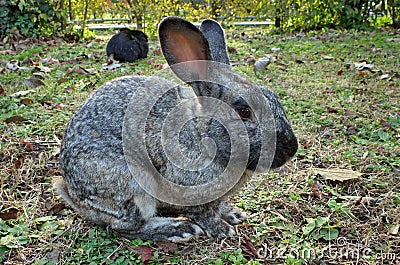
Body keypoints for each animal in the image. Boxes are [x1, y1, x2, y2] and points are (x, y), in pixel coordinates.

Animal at [54, 17, 296, 241]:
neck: (201, 135)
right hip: (133, 187)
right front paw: (221, 229)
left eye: (273, 97)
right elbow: (204, 214)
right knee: (125, 226)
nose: (291, 148)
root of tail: (74, 195)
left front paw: (232, 214)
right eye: (244, 111)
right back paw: (178, 229)